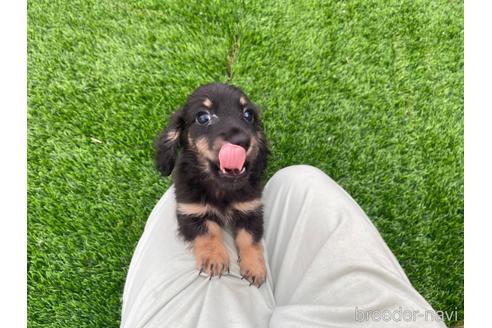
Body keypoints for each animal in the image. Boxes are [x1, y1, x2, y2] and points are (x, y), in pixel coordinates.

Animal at [156, 82, 270, 288]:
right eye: (203, 117)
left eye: (248, 115)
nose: (242, 142)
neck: (221, 188)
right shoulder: (190, 211)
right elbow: (209, 232)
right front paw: (214, 260)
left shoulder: (251, 209)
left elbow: (249, 238)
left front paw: (255, 267)